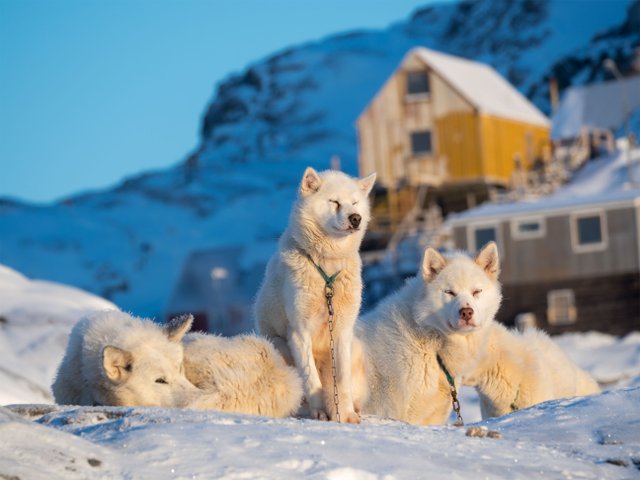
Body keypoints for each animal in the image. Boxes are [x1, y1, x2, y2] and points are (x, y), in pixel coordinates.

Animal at [255, 167, 376, 422]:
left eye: (355, 203)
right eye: (335, 202)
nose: (356, 218)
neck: (326, 270)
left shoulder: (341, 333)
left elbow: (342, 382)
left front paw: (346, 415)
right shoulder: (299, 333)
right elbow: (311, 380)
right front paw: (319, 411)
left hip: (355, 347)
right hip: (279, 345)